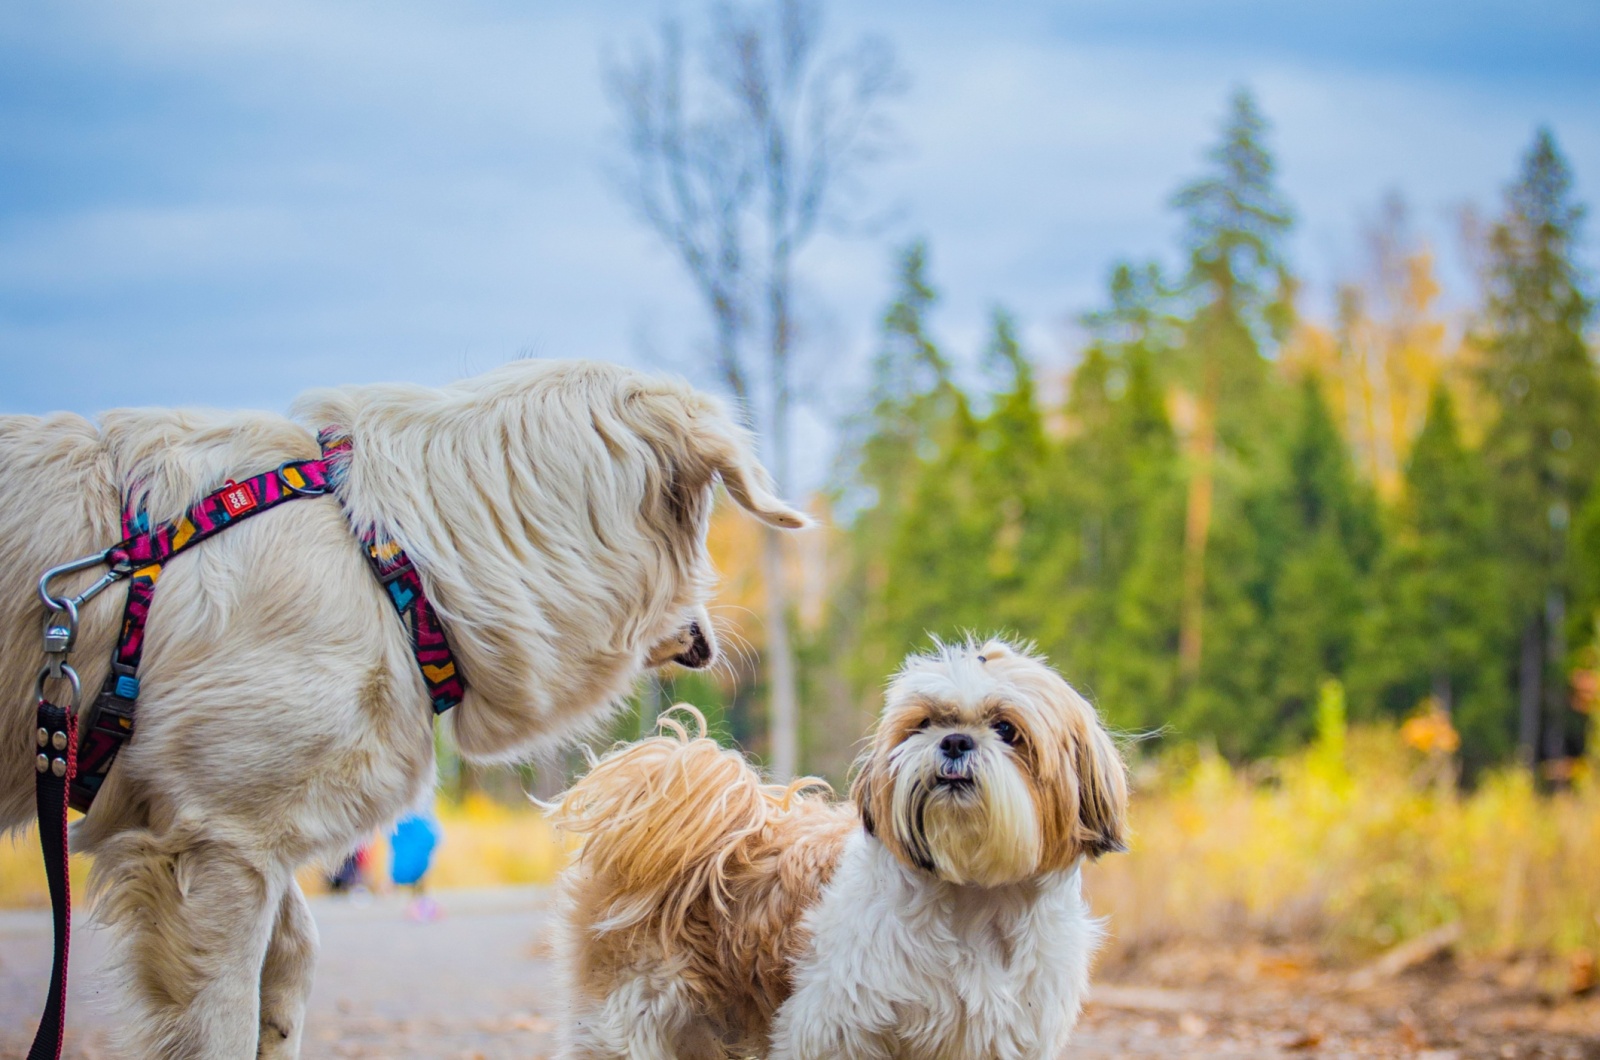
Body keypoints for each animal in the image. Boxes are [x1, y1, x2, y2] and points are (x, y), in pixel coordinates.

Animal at [550, 640, 1126, 1060]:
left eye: (1007, 729)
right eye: (924, 723)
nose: (955, 741)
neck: (975, 898)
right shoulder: (835, 1027)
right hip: (632, 1017)